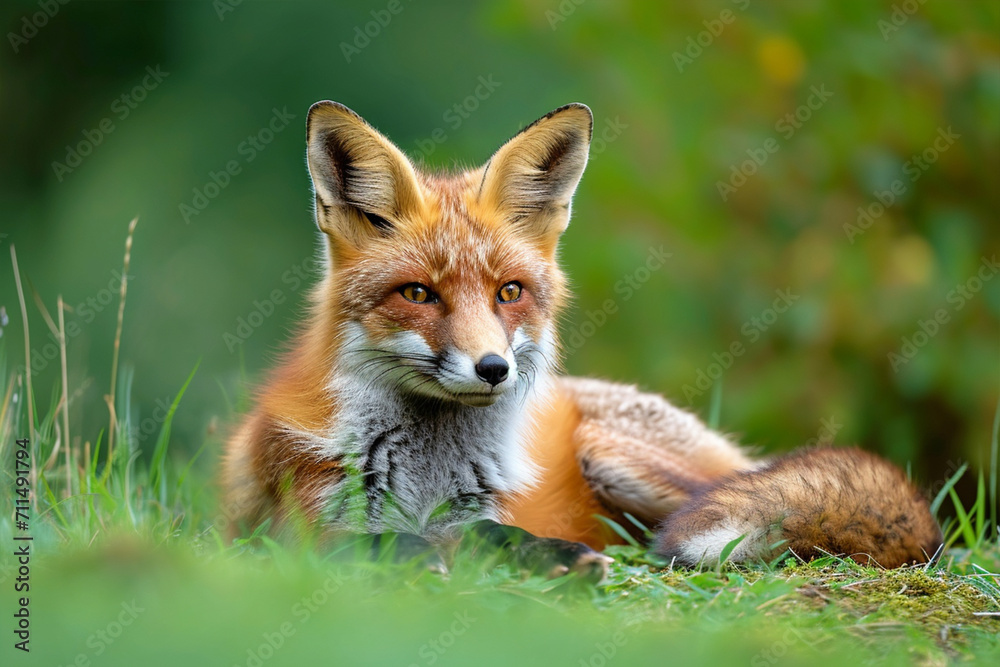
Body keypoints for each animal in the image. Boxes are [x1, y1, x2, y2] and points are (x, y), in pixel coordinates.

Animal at [221, 100, 942, 576]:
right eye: (418, 295)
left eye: (509, 292)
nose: (493, 368)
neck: (428, 473)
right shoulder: (297, 524)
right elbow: (368, 542)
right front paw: (418, 554)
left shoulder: (480, 514)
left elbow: (491, 535)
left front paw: (552, 556)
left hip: (617, 455)